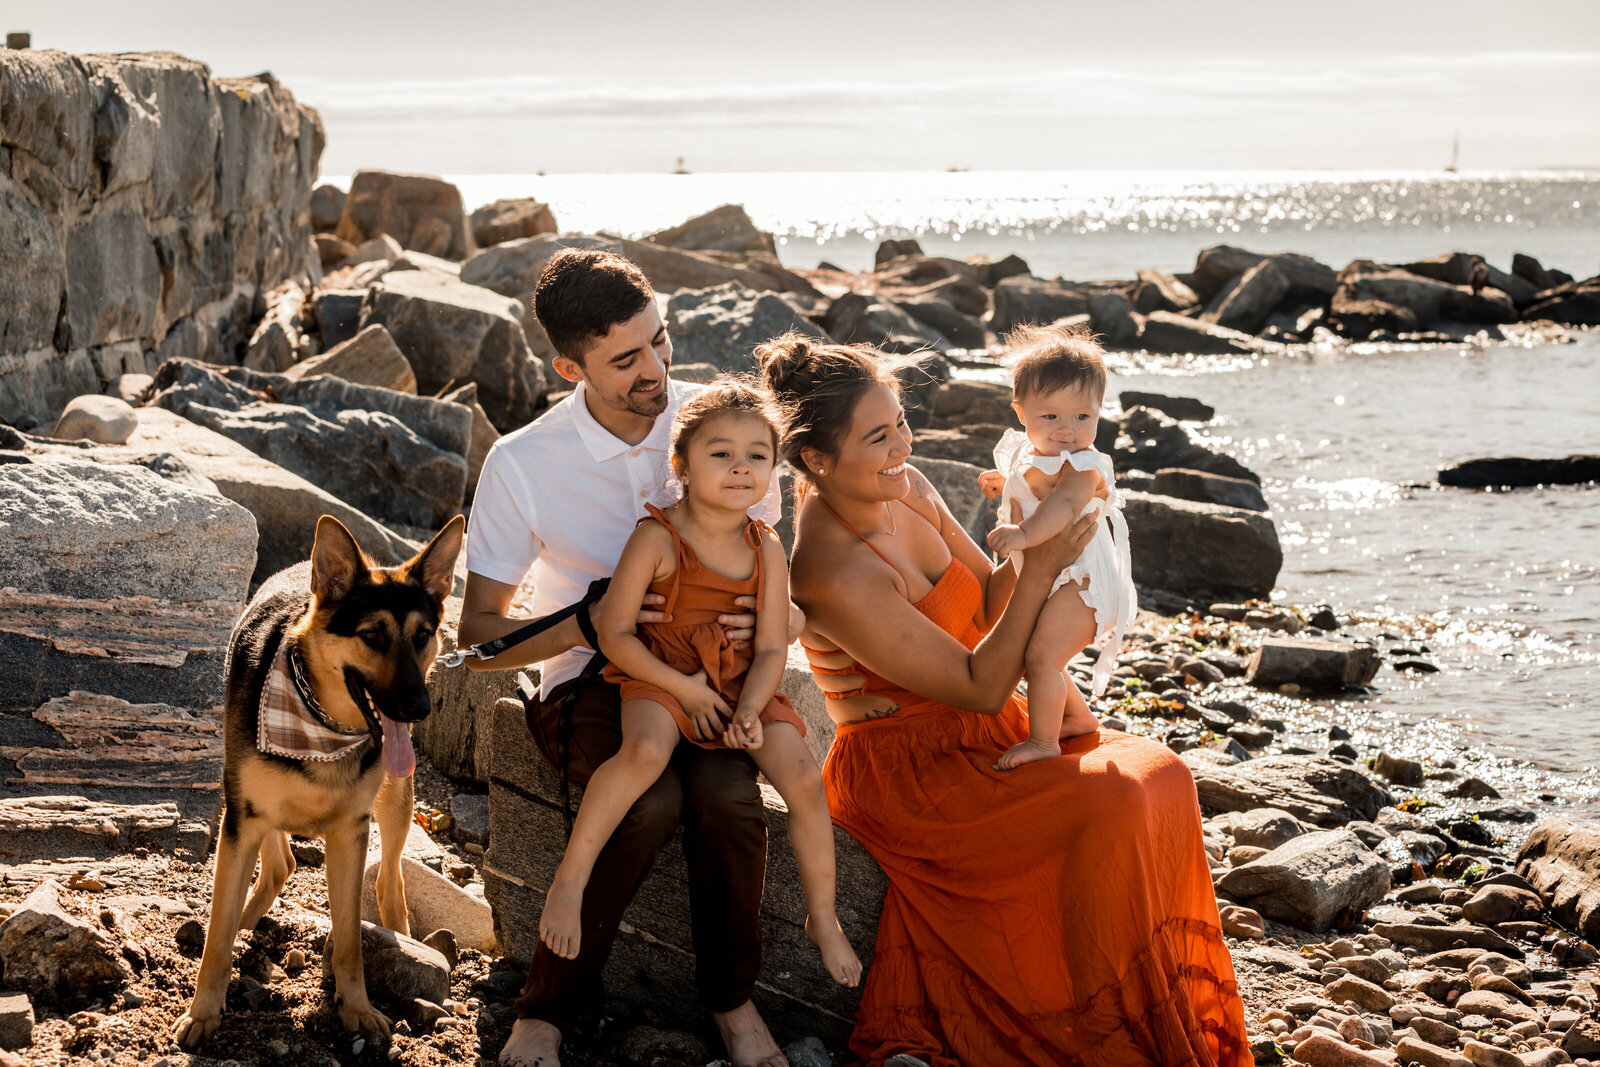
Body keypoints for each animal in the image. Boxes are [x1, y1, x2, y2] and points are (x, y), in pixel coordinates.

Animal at [175, 511, 467, 1049]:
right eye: (372, 635)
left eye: (422, 635)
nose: (419, 707)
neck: (320, 722)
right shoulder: (242, 820)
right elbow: (218, 934)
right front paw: (204, 1012)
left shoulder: (350, 833)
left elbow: (350, 937)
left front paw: (357, 1009)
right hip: (250, 806)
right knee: (280, 864)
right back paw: (247, 919)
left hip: (396, 802)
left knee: (389, 881)